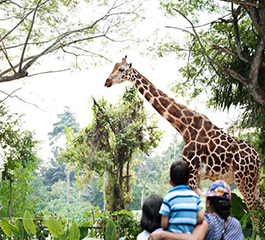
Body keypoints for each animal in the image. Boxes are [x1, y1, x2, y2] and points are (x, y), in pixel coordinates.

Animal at [104, 55, 260, 210]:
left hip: (244, 180)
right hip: (255, 181)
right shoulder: (195, 175)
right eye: (114, 66)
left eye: (121, 69)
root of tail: (258, 158)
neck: (185, 127)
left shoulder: (192, 170)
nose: (107, 81)